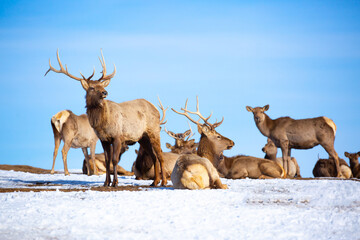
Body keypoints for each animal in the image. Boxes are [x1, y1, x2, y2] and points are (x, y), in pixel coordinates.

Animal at [45, 49, 167, 188]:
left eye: (102, 86)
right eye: (92, 87)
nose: (105, 92)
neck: (102, 123)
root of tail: (156, 109)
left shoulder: (118, 136)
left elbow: (114, 160)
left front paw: (115, 183)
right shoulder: (104, 139)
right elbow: (108, 160)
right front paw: (106, 182)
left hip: (154, 131)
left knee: (160, 155)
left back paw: (163, 181)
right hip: (142, 137)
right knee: (154, 156)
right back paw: (154, 182)